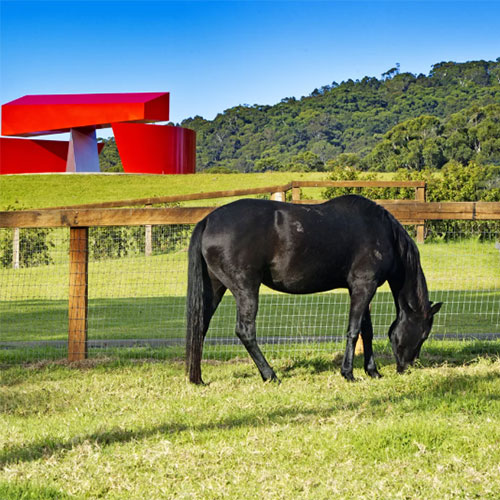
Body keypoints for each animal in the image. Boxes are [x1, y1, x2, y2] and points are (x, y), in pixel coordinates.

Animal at [187, 194, 442, 382]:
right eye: (423, 335)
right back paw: (271, 375)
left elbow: (366, 331)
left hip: (216, 287)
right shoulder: (364, 286)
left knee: (201, 326)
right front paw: (348, 374)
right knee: (245, 331)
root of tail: (208, 221)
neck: (383, 231)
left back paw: (197, 379)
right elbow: (354, 330)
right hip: (246, 289)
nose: (406, 368)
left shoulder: (359, 289)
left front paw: (373, 371)